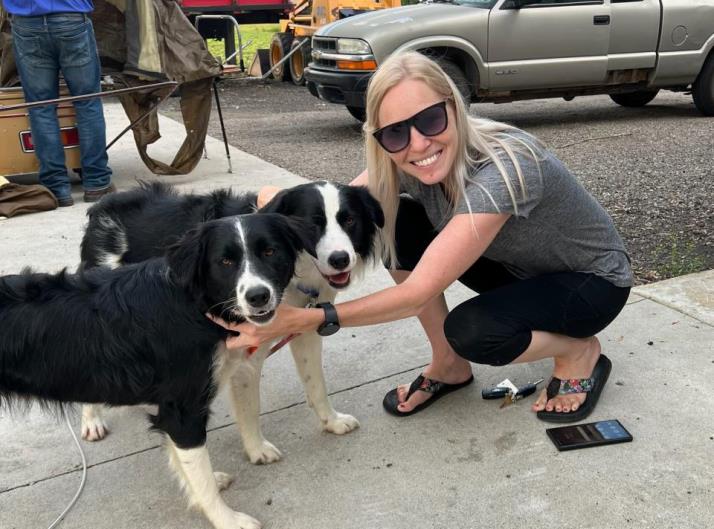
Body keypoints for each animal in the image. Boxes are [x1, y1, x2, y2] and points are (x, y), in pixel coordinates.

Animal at [0, 212, 312, 528]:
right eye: (224, 262)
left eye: (270, 251)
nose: (258, 296)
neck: (194, 304)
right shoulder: (183, 413)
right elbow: (200, 476)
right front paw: (226, 519)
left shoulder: (171, 409)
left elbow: (188, 467)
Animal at [78, 182, 384, 466]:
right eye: (312, 224)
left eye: (350, 220)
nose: (340, 259)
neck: (295, 273)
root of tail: (105, 205)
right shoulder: (245, 350)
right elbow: (250, 408)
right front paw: (257, 450)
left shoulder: (304, 330)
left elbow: (316, 383)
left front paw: (331, 421)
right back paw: (91, 420)